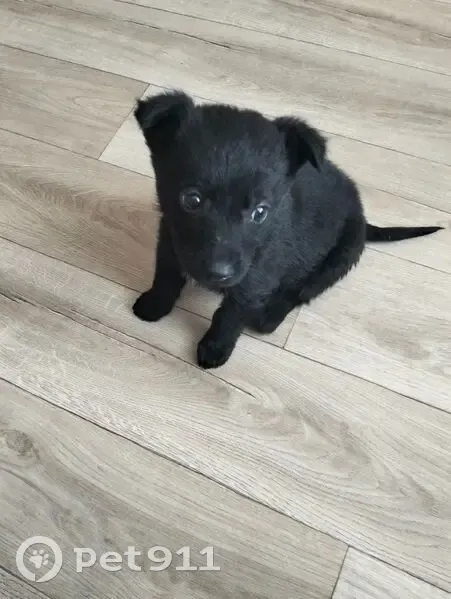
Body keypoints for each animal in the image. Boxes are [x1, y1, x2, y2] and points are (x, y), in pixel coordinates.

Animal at [132, 91, 442, 369]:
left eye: (260, 212)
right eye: (191, 200)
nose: (218, 274)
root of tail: (364, 220)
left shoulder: (257, 276)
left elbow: (231, 314)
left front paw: (215, 347)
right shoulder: (169, 239)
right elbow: (166, 275)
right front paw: (154, 305)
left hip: (342, 255)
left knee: (302, 290)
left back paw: (269, 315)